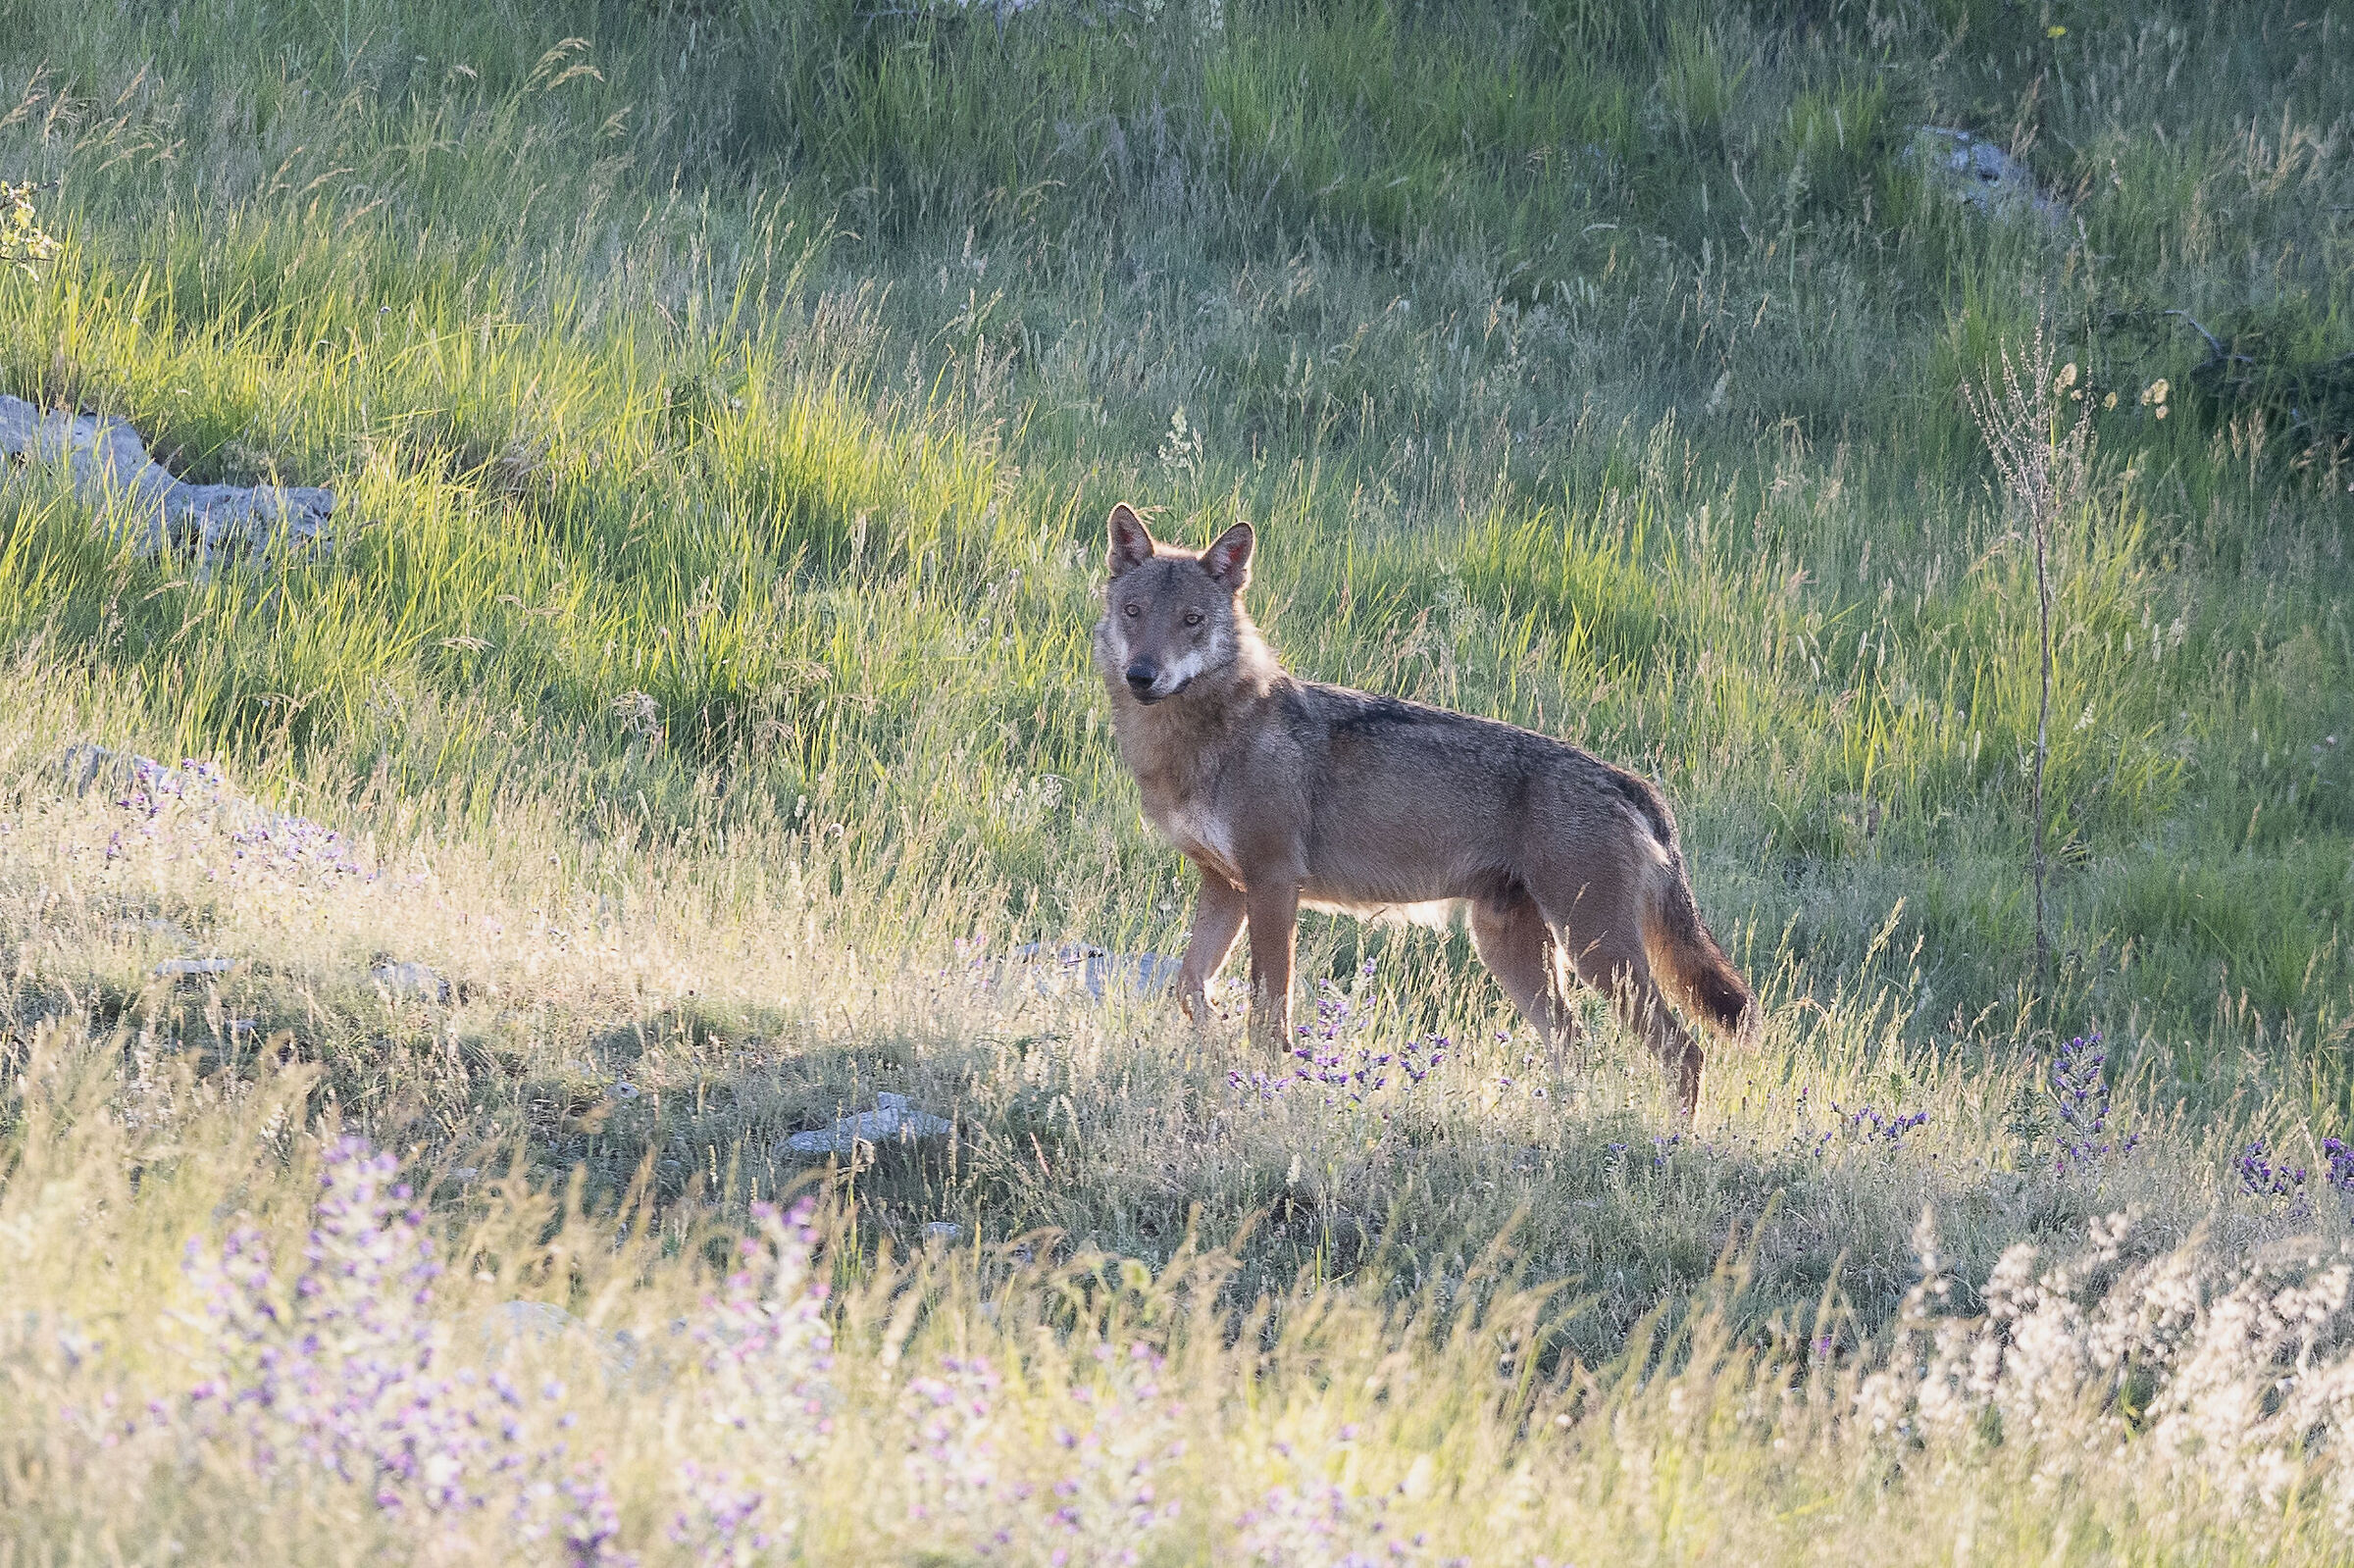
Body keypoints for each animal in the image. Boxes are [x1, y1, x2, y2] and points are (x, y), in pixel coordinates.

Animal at [1092, 503, 1755, 1115]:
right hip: (1516, 955)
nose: (1142, 675)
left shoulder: (1273, 884)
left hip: (1598, 956)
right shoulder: (1225, 884)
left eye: (1192, 620)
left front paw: (1262, 1082)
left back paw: (1672, 1137)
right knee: (1574, 1044)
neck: (1201, 738)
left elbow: (1267, 1012)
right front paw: (1215, 1042)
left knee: (1684, 1049)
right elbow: (1188, 987)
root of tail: (1627, 781)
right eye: (1135, 613)